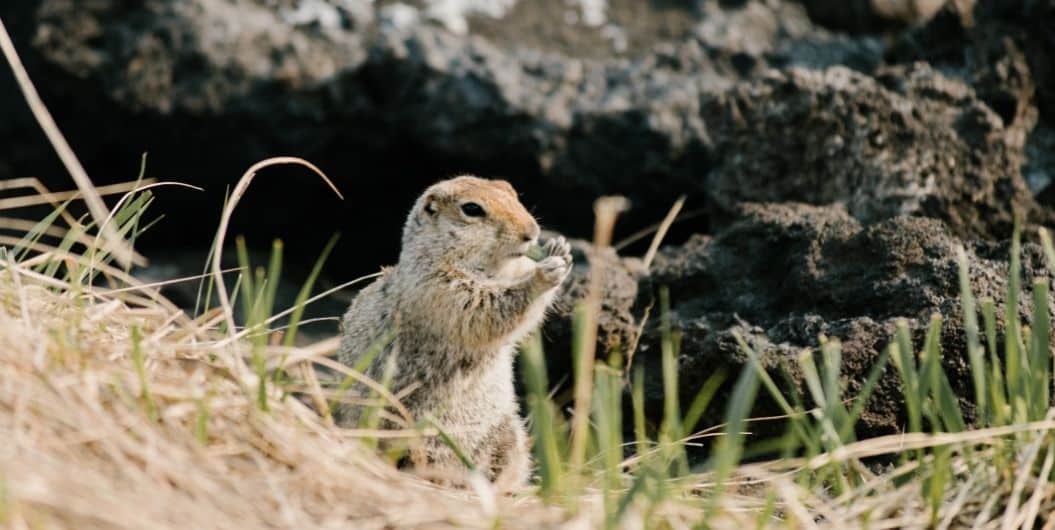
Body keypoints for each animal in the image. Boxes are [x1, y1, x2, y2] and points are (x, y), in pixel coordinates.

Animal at [335, 175, 569, 487]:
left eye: (510, 190)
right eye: (472, 209)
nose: (531, 232)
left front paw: (560, 249)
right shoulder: (441, 287)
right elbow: (486, 308)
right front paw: (543, 274)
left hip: (507, 431)